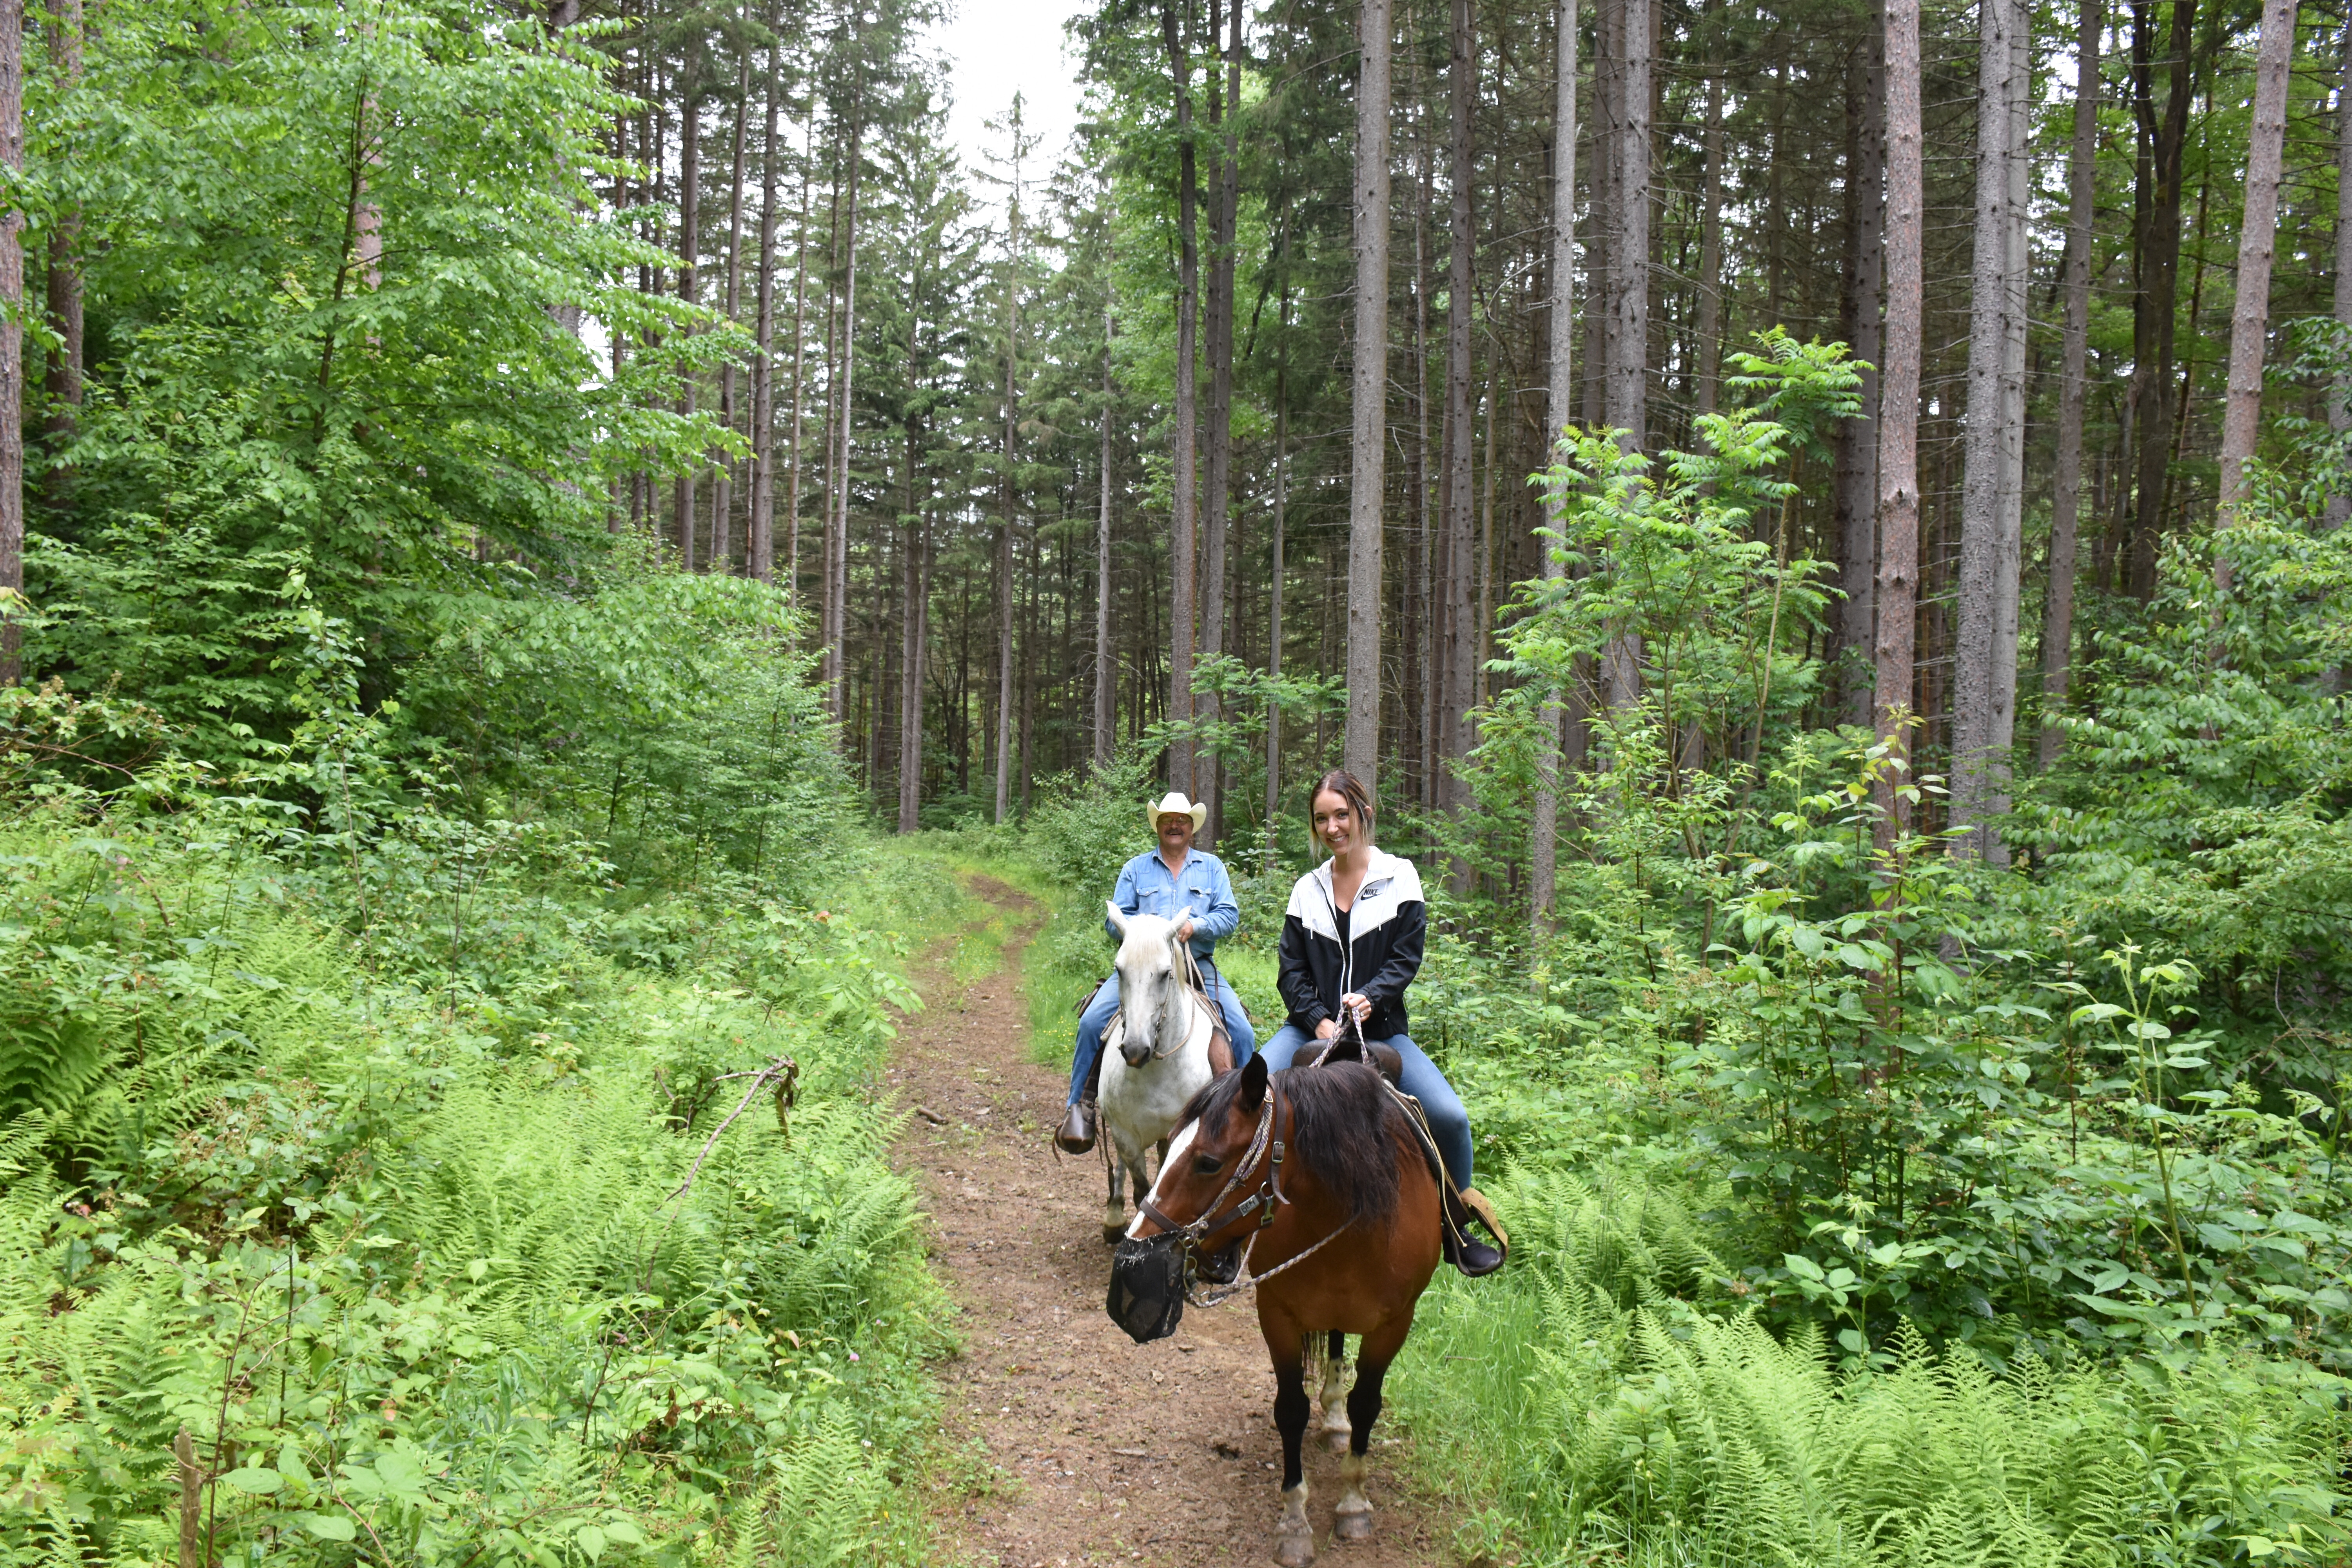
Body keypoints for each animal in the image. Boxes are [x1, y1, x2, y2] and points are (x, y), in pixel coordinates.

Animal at [1096, 907, 1223, 1250]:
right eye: (1119, 970)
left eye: (1166, 973)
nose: (1135, 1050)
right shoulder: (1125, 1134)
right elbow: (1142, 1191)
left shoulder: (1181, 1137)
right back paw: (1114, 1218)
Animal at [1105, 1044, 1449, 1568]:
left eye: (1208, 1162)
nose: (1131, 1270)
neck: (1352, 1216)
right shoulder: (1277, 1315)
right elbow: (1291, 1409)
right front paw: (1294, 1521)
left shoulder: (1395, 1323)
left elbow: (1367, 1404)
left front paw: (1353, 1502)